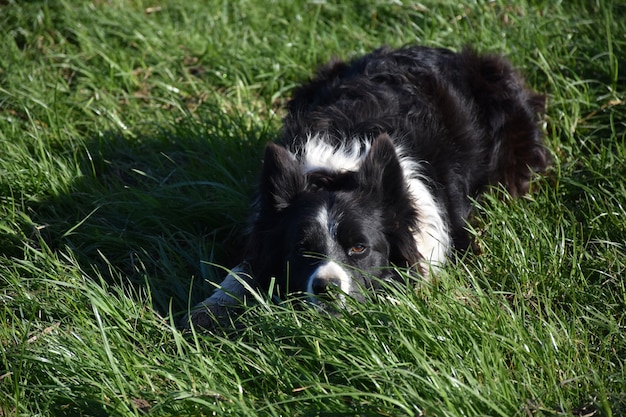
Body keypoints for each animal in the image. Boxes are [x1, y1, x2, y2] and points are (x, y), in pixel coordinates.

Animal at [182, 43, 544, 328]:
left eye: (359, 248)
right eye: (302, 249)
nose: (327, 288)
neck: (337, 173)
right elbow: (240, 272)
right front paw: (206, 312)